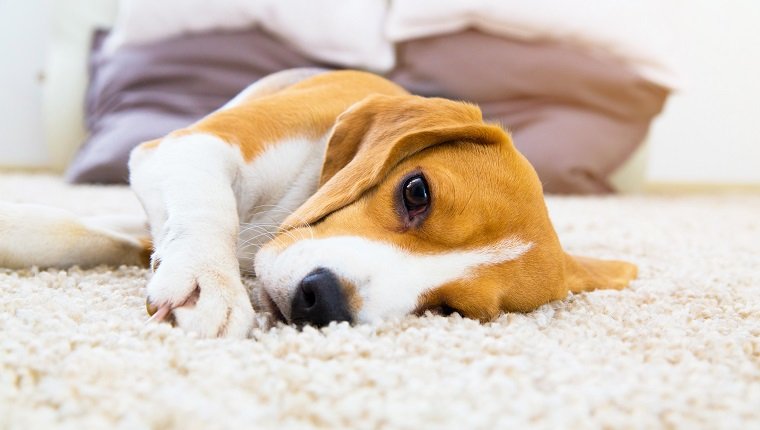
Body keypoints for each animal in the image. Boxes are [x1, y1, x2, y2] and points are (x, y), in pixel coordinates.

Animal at [0, 69, 636, 338]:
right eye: (416, 192)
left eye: (452, 310)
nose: (322, 300)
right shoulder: (188, 147)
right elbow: (204, 211)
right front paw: (210, 281)